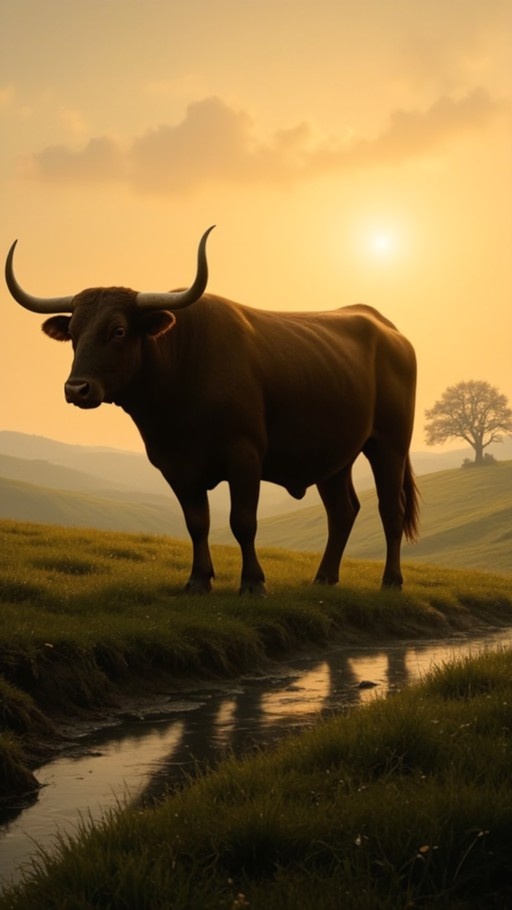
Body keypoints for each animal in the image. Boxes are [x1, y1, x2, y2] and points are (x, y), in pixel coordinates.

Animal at [5, 228, 419, 595]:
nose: (77, 388)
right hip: (334, 456)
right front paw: (199, 580)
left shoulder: (245, 456)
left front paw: (253, 582)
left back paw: (391, 581)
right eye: (73, 333)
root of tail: (387, 328)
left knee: (390, 510)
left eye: (119, 330)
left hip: (389, 445)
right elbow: (197, 523)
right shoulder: (174, 465)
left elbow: (243, 521)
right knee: (342, 511)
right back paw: (325, 578)